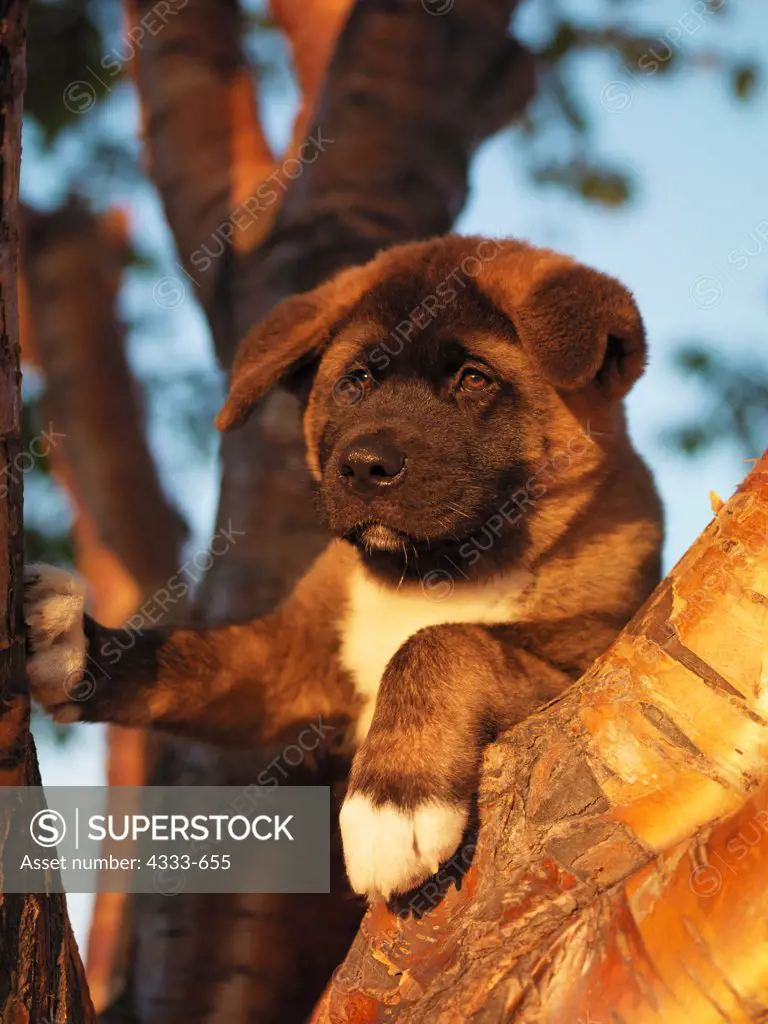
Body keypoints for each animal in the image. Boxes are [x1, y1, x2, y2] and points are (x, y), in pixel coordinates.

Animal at [22, 235, 663, 901]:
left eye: (473, 378)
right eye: (354, 382)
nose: (364, 466)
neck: (435, 573)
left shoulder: (595, 662)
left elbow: (444, 642)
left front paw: (391, 803)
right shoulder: (287, 655)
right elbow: (190, 659)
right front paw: (73, 643)